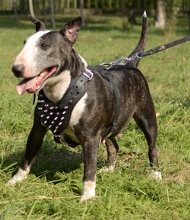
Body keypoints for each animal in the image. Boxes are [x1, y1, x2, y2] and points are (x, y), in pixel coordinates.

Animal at [8, 11, 162, 201]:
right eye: (24, 43)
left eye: (44, 45)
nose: (16, 69)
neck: (63, 92)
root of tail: (129, 64)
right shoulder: (37, 130)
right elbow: (28, 155)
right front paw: (15, 180)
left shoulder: (89, 137)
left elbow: (89, 168)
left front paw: (87, 197)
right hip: (109, 124)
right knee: (113, 145)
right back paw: (109, 169)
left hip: (146, 117)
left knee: (152, 146)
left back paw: (155, 174)